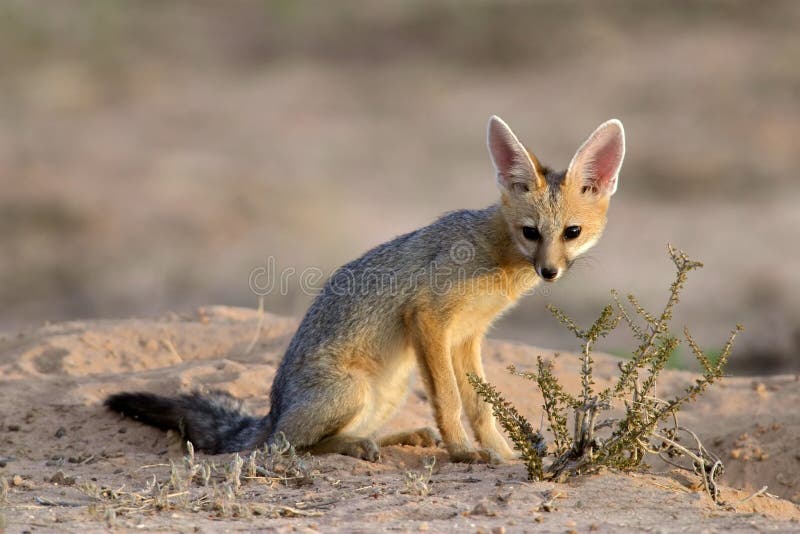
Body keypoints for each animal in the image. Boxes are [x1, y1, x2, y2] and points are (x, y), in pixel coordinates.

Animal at [104, 116, 624, 464]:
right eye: (531, 232)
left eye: (572, 233)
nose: (549, 272)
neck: (495, 254)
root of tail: (270, 414)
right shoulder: (429, 319)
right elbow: (451, 402)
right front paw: (463, 452)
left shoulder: (466, 338)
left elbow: (481, 406)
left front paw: (502, 454)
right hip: (352, 391)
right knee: (296, 446)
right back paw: (359, 446)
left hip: (389, 388)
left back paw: (395, 438)